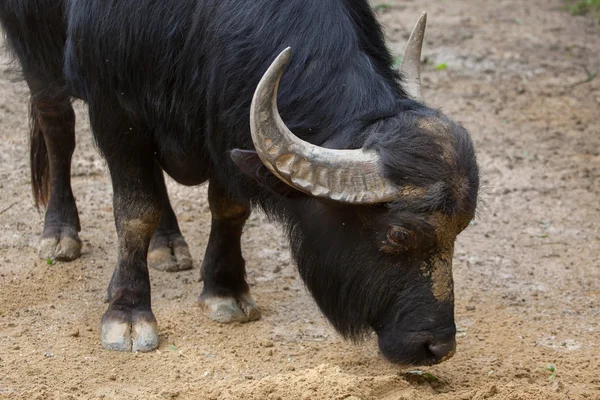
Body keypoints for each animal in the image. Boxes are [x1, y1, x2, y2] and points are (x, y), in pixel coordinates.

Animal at [0, 0, 478, 366]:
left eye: (461, 230)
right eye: (398, 234)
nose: (437, 347)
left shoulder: (224, 121)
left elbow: (230, 208)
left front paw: (225, 291)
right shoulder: (116, 110)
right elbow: (135, 212)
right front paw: (129, 313)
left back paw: (168, 245)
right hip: (36, 53)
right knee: (57, 125)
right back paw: (61, 234)